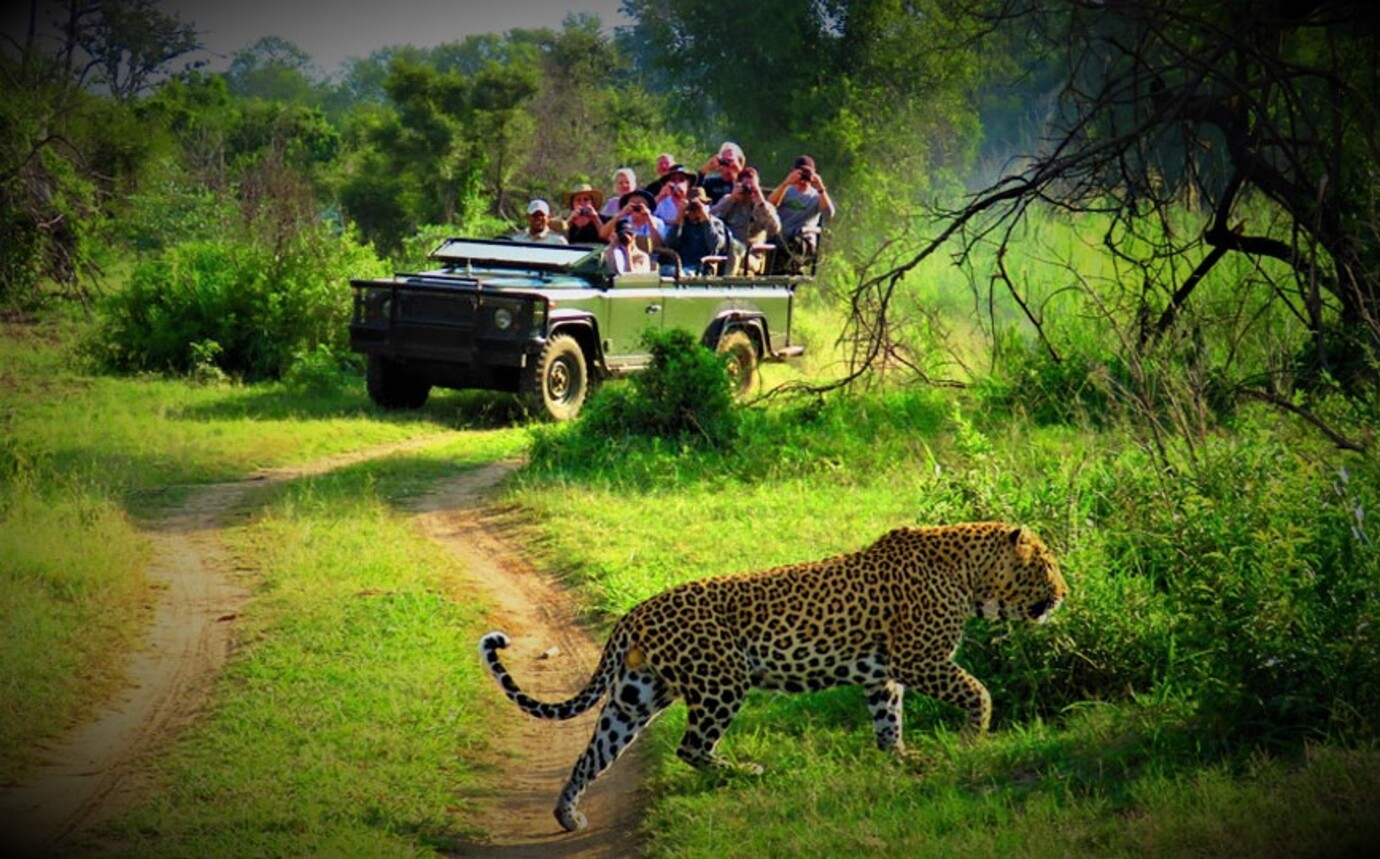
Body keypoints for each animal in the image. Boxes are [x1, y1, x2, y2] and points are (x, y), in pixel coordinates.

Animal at [474, 522, 1065, 834]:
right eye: (1047, 566)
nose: (1062, 594)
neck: (970, 575)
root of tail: (634, 612)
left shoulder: (884, 675)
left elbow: (888, 721)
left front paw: (900, 760)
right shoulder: (919, 658)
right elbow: (979, 691)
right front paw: (972, 738)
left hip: (636, 695)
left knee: (593, 752)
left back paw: (567, 814)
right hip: (722, 680)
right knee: (691, 747)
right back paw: (746, 773)